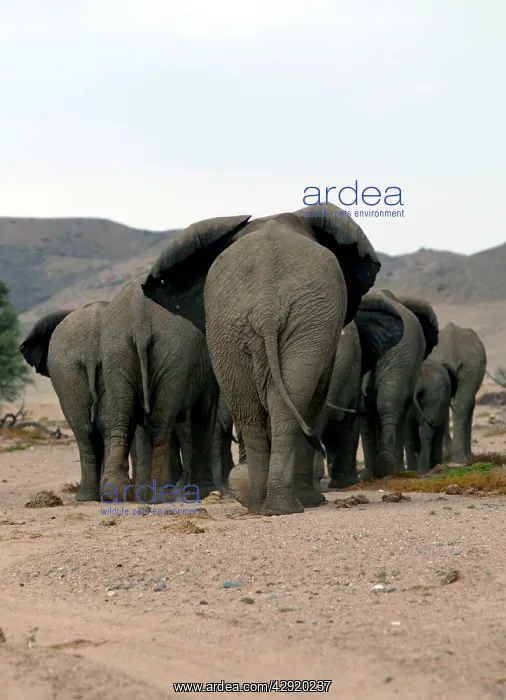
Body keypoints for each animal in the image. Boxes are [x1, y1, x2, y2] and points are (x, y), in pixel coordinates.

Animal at [99, 279, 219, 503]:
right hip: (173, 354)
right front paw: (206, 490)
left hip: (116, 352)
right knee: (162, 423)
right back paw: (162, 494)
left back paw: (115, 493)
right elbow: (204, 413)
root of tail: (140, 321)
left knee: (123, 416)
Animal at [142, 202, 382, 516]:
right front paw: (312, 500)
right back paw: (286, 505)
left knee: (250, 407)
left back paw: (263, 505)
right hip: (296, 321)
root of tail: (267, 308)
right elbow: (316, 398)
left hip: (236, 324)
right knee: (286, 405)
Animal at [429, 322, 487, 464]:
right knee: (463, 405)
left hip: (468, 365)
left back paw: (456, 458)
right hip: (471, 365)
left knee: (459, 405)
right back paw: (460, 459)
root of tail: (451, 350)